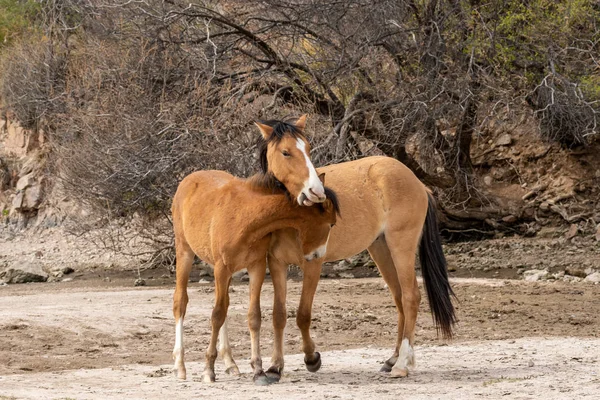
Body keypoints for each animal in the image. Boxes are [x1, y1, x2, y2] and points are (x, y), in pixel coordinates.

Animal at [170, 116, 338, 384]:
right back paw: (181, 365)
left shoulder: (256, 265)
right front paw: (208, 369)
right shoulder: (222, 267)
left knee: (225, 304)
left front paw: (258, 368)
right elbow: (217, 314)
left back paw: (230, 363)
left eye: (309, 148)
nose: (316, 191)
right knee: (181, 303)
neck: (247, 213)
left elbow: (252, 315)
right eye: (286, 152)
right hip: (184, 252)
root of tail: (189, 179)